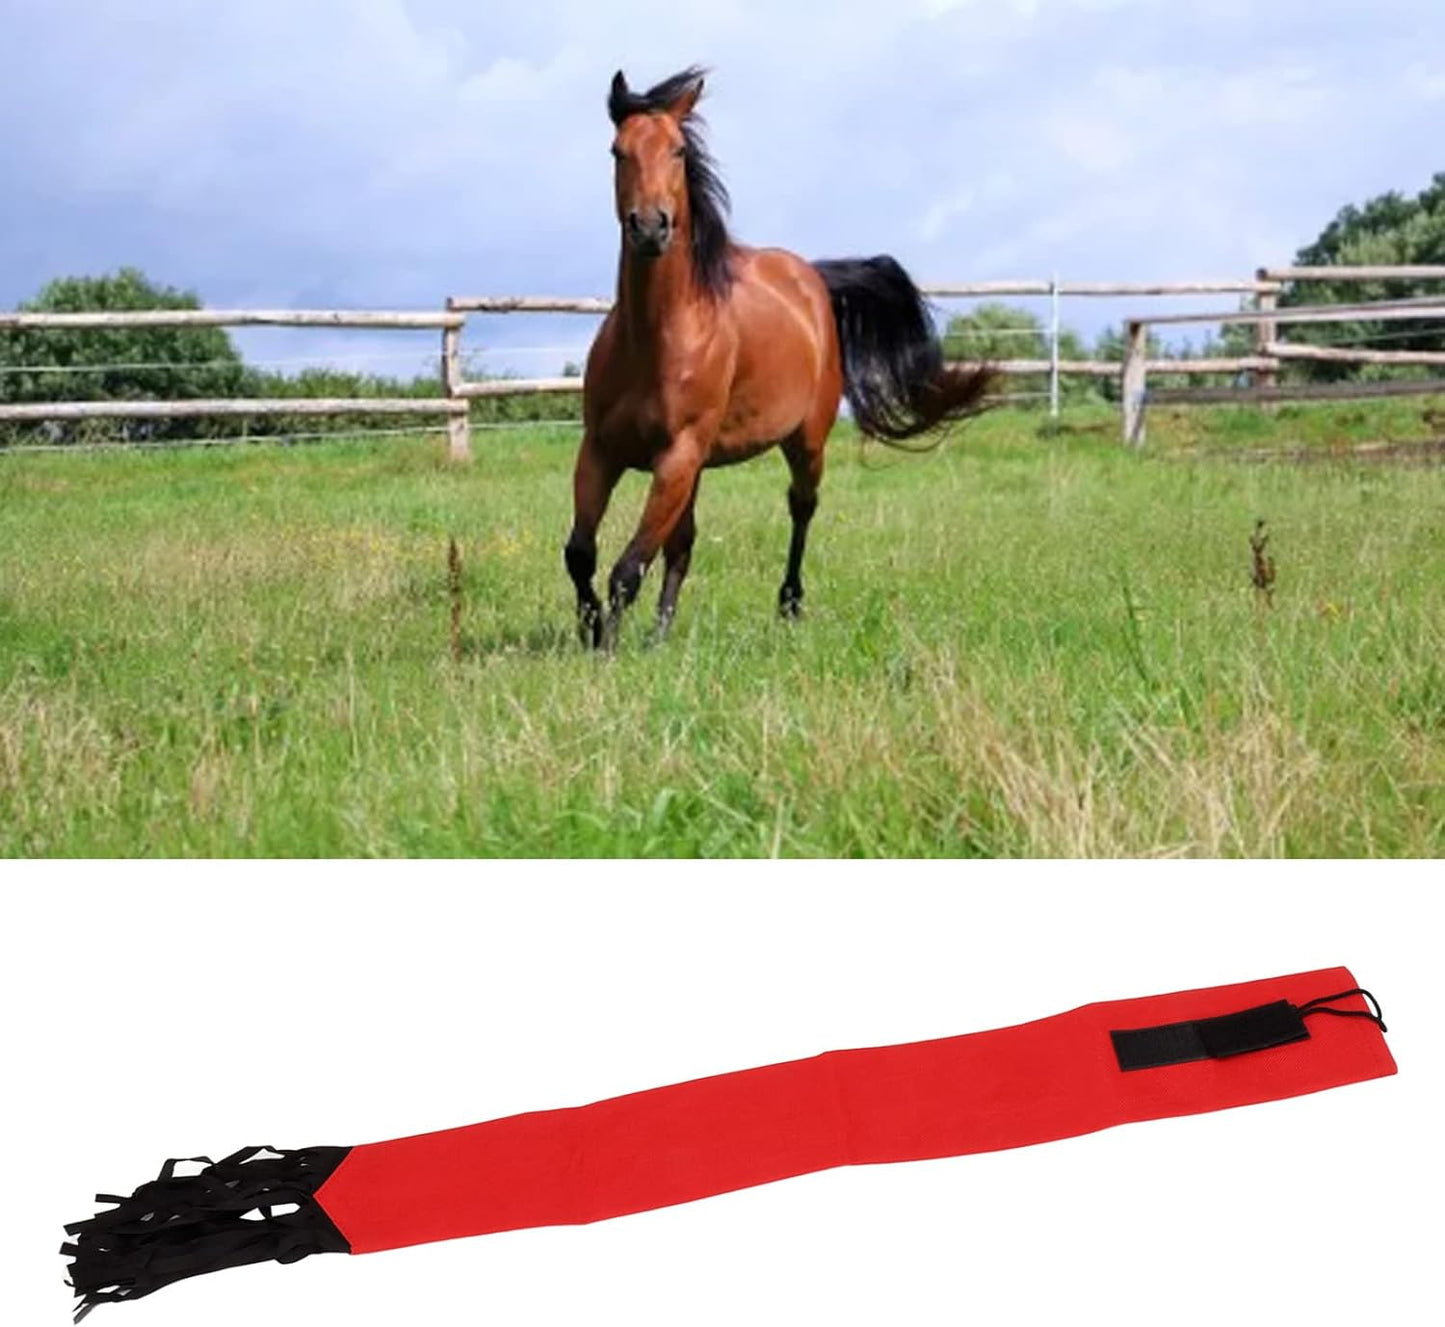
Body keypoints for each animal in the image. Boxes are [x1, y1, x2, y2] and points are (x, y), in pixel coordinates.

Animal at [565, 66, 993, 650]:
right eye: (617, 151)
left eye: (678, 151)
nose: (650, 226)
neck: (655, 338)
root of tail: (811, 277)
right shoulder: (603, 450)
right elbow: (581, 554)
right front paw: (592, 631)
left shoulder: (677, 456)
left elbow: (627, 568)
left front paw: (606, 649)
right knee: (683, 544)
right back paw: (660, 635)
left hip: (805, 441)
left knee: (801, 507)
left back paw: (789, 605)